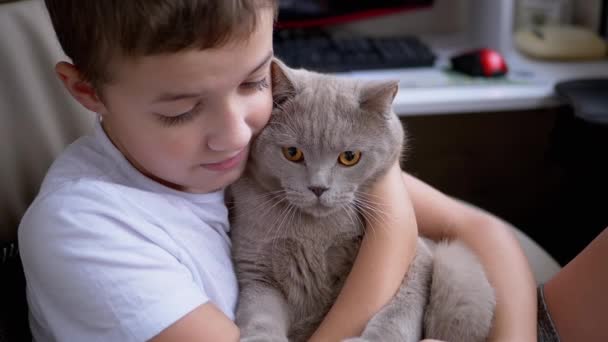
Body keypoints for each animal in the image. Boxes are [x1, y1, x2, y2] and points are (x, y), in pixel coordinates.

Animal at [230, 61, 496, 342]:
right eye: (292, 153)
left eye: (349, 157)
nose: (318, 187)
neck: (315, 234)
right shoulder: (256, 272)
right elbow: (260, 315)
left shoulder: (415, 257)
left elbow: (399, 310)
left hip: (459, 274)